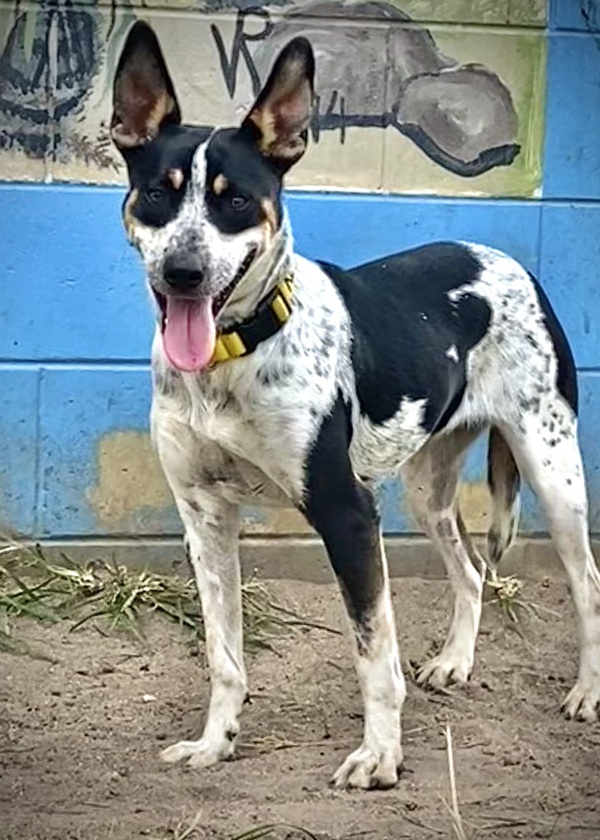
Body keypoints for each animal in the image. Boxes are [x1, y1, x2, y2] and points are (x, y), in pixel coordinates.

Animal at [110, 21, 600, 790]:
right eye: (157, 195)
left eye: (235, 201)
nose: (182, 272)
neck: (234, 356)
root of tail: (511, 261)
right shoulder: (204, 517)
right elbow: (224, 654)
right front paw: (216, 742)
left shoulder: (347, 512)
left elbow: (373, 653)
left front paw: (380, 756)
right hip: (429, 486)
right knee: (471, 570)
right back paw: (455, 662)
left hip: (554, 472)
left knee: (587, 584)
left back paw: (584, 692)